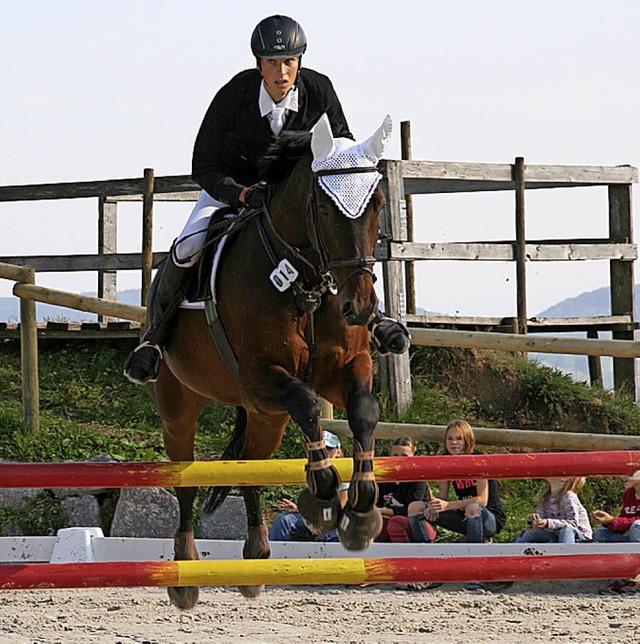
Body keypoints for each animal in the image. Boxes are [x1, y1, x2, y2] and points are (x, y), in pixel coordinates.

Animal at [150, 114, 390, 608]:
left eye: (376, 202)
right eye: (325, 207)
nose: (359, 307)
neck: (307, 283)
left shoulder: (346, 368)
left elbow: (363, 410)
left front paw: (360, 512)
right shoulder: (260, 378)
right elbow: (307, 402)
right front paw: (322, 500)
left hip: (265, 418)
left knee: (251, 471)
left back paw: (256, 555)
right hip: (182, 406)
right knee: (185, 476)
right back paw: (185, 571)